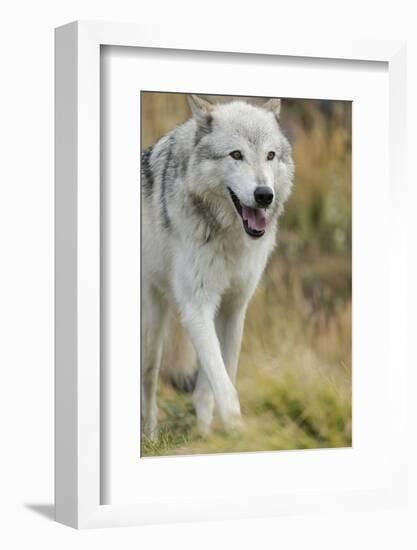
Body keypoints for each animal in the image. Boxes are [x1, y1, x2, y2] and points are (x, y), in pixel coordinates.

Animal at [141, 95, 294, 440]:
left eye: (270, 155)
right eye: (236, 154)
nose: (264, 195)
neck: (229, 238)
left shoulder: (234, 308)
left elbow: (215, 382)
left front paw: (207, 436)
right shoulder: (197, 307)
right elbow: (224, 387)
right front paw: (238, 434)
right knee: (149, 378)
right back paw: (150, 438)